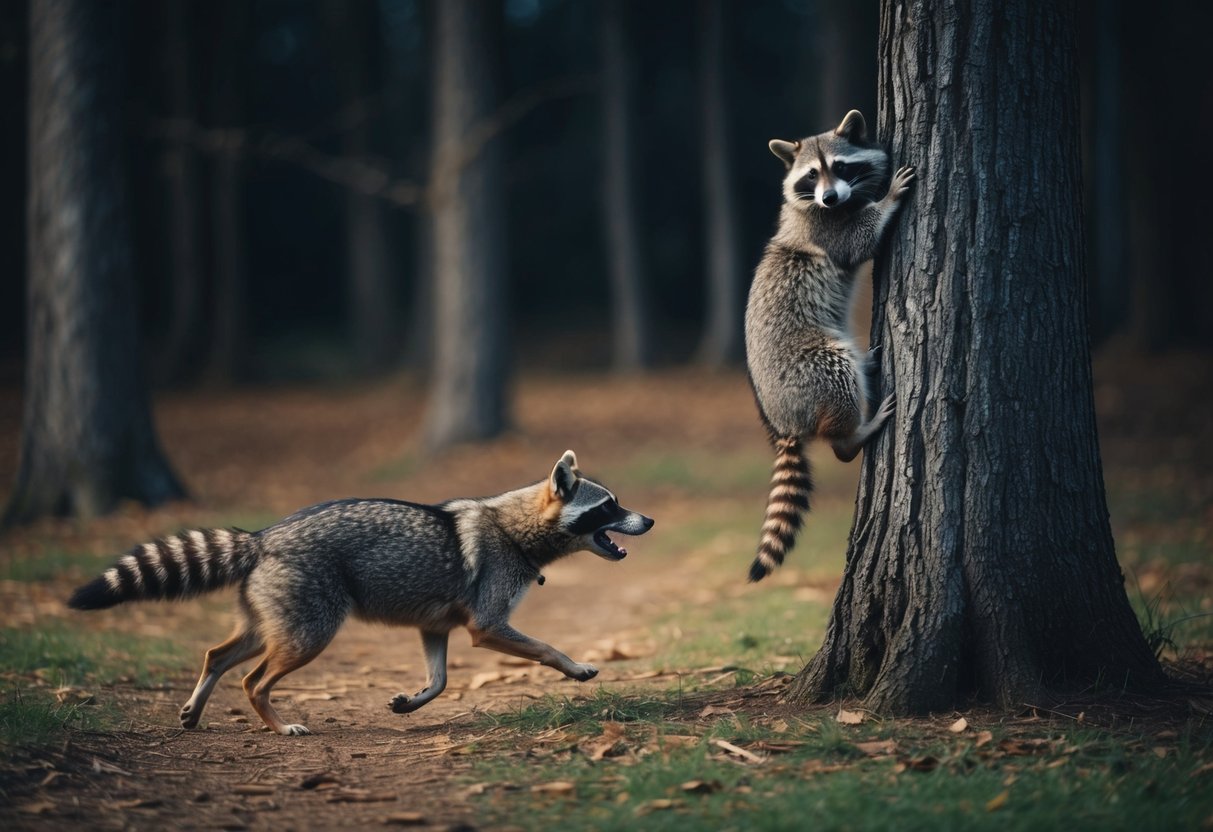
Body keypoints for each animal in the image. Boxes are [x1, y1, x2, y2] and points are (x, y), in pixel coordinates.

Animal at [68, 451, 654, 736]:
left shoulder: (434, 622)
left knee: (218, 653)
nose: (648, 520)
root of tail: (262, 537)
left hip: (276, 619)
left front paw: (418, 697)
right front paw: (571, 665)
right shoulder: (487, 617)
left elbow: (441, 679)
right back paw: (272, 719)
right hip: (312, 627)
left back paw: (199, 701)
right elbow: (537, 644)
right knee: (255, 680)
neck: (516, 526)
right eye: (609, 506)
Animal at [744, 109, 915, 582]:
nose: (830, 197)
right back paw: (852, 435)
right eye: (810, 175)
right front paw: (888, 199)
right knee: (836, 377)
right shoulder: (827, 229)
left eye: (840, 167)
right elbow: (861, 240)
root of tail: (779, 421)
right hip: (808, 367)